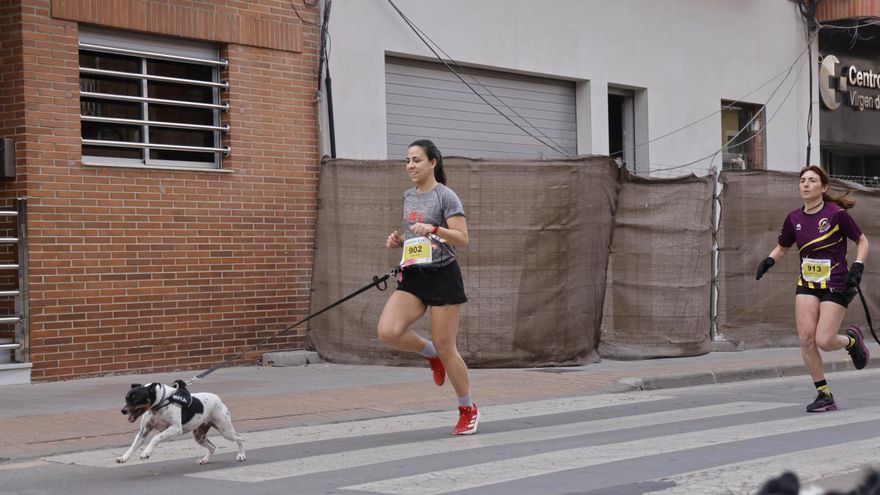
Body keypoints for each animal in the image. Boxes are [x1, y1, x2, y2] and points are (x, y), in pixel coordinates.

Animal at [117, 382, 246, 466]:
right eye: (126, 398)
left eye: (137, 399)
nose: (123, 410)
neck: (160, 404)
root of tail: (218, 398)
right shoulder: (143, 432)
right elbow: (133, 446)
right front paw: (123, 458)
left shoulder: (175, 428)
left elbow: (155, 437)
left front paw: (146, 453)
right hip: (199, 436)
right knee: (213, 447)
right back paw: (204, 460)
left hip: (225, 430)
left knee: (239, 437)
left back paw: (241, 455)